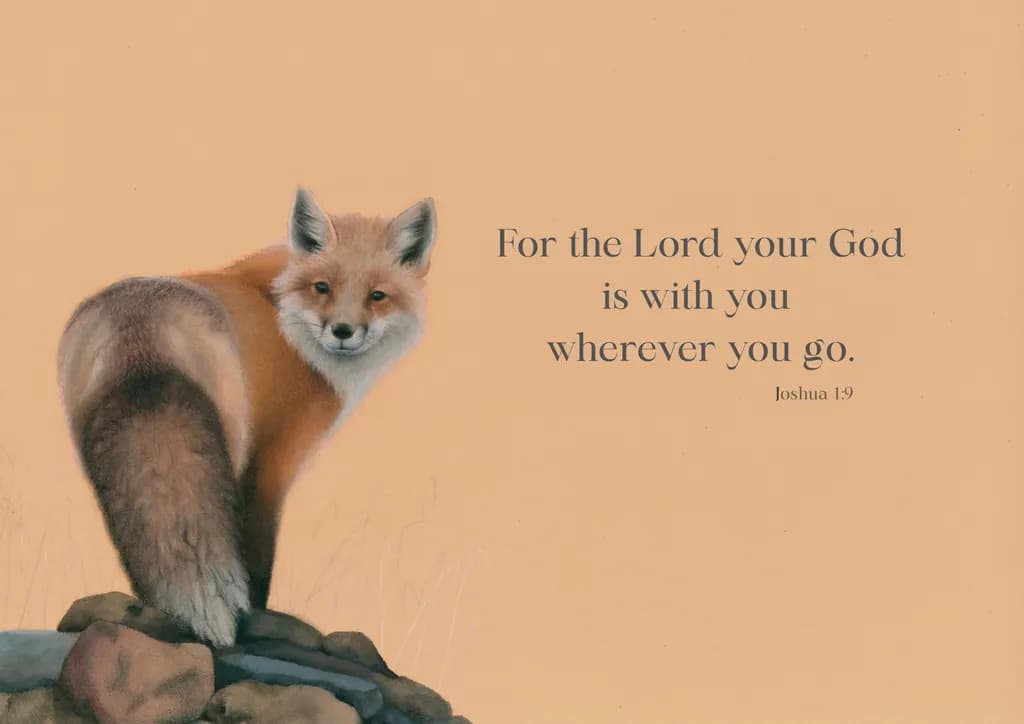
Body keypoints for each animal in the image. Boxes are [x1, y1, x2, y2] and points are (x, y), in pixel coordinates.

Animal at [57, 188, 436, 647]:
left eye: (377, 296)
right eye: (322, 288)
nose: (343, 331)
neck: (283, 317)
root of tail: (137, 335)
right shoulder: (274, 456)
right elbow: (257, 557)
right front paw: (257, 612)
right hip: (231, 443)